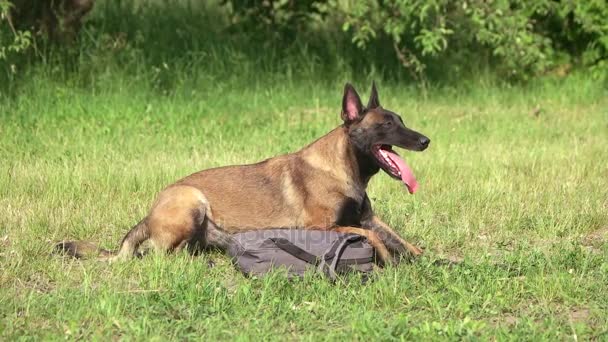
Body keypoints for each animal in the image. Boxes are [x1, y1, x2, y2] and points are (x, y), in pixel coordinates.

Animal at [55, 83, 428, 264]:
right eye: (386, 125)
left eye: (401, 120)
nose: (426, 140)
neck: (343, 168)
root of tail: (149, 213)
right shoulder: (321, 227)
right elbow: (373, 238)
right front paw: (388, 262)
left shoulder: (369, 219)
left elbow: (402, 241)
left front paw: (428, 260)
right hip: (192, 201)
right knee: (159, 256)